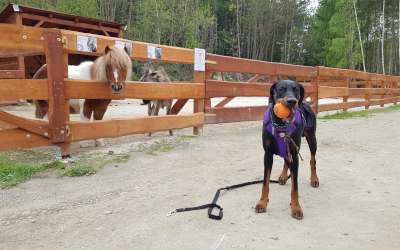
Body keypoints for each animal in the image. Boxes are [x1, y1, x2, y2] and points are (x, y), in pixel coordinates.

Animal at [256, 79, 318, 219]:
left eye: (296, 89)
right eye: (281, 89)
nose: (292, 101)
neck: (281, 124)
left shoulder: (295, 155)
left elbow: (295, 187)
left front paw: (296, 208)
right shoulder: (267, 154)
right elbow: (265, 183)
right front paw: (262, 203)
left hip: (312, 139)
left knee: (313, 159)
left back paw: (314, 179)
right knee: (285, 159)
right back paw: (284, 176)